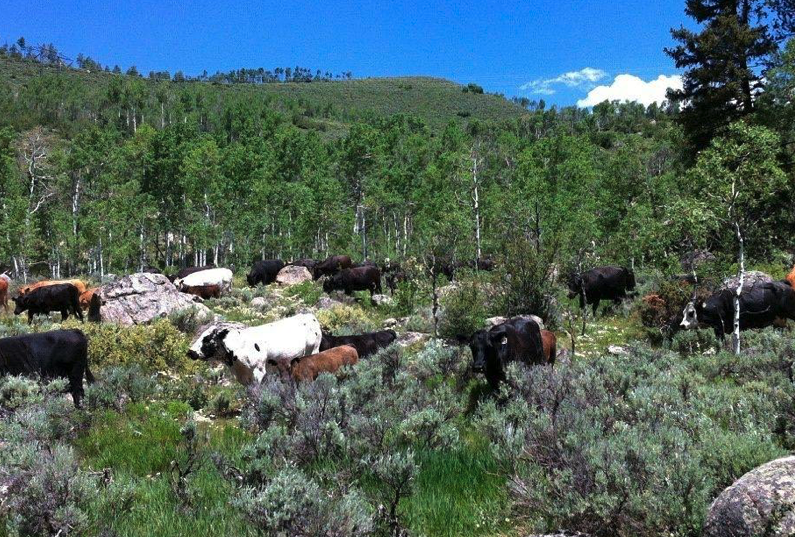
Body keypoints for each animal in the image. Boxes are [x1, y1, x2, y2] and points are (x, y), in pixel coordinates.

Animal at [187, 313, 322, 385]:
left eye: (207, 338)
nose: (190, 352)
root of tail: (309, 316)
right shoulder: (243, 377)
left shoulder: (258, 372)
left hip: (313, 350)